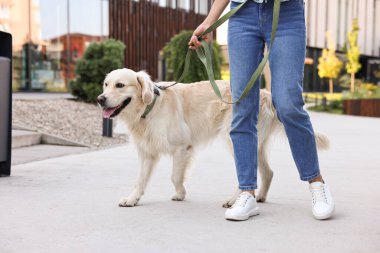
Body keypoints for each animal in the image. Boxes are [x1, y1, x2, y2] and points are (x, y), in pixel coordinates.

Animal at [98, 68, 330, 207]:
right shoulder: (147, 152)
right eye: (106, 84)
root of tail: (266, 93)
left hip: (234, 137)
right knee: (268, 172)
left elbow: (175, 176)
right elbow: (140, 180)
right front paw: (132, 199)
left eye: (120, 85)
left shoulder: (181, 147)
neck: (149, 108)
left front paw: (180, 194)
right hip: (258, 144)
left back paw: (235, 200)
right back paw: (260, 197)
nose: (100, 99)